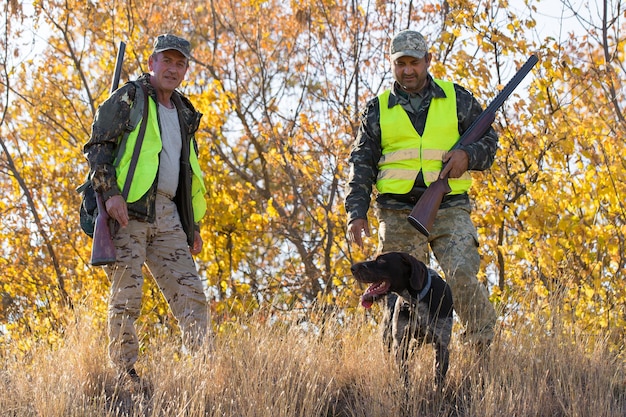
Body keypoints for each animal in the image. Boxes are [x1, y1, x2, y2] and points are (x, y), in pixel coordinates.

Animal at [348, 250, 450, 386]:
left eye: (381, 260)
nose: (352, 268)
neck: (416, 300)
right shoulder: (400, 343)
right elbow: (404, 375)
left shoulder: (441, 345)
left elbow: (438, 381)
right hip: (388, 337)